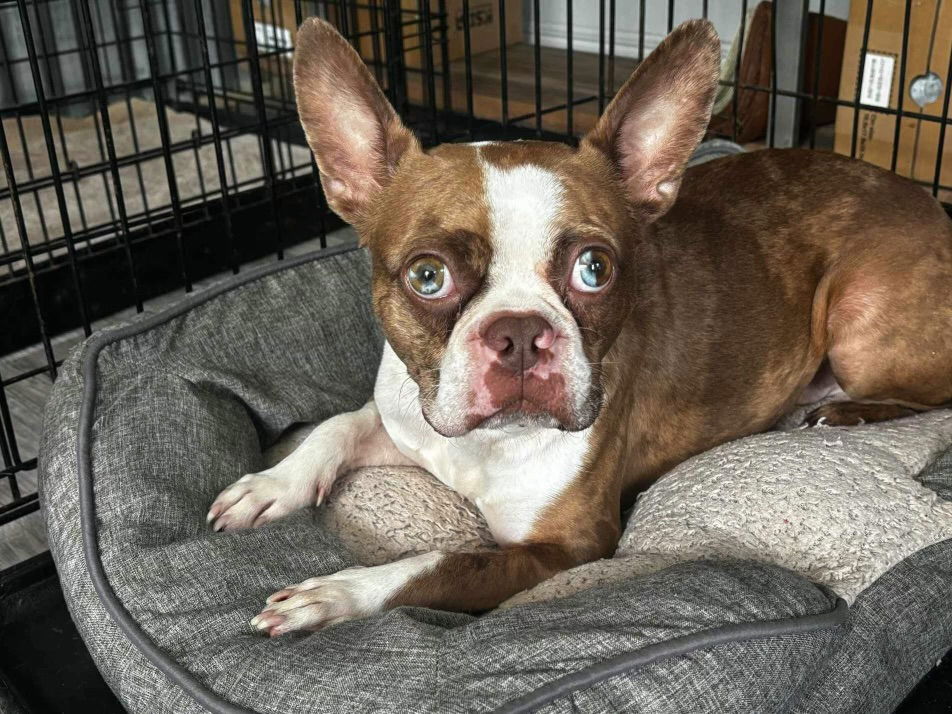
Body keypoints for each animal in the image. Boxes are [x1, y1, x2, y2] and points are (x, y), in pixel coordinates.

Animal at [205, 18, 948, 636]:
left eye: (595, 269)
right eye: (427, 277)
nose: (519, 333)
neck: (485, 448)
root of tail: (931, 206)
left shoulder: (565, 548)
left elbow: (440, 564)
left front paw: (337, 593)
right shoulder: (409, 420)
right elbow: (337, 425)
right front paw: (272, 487)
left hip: (858, 322)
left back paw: (848, 413)